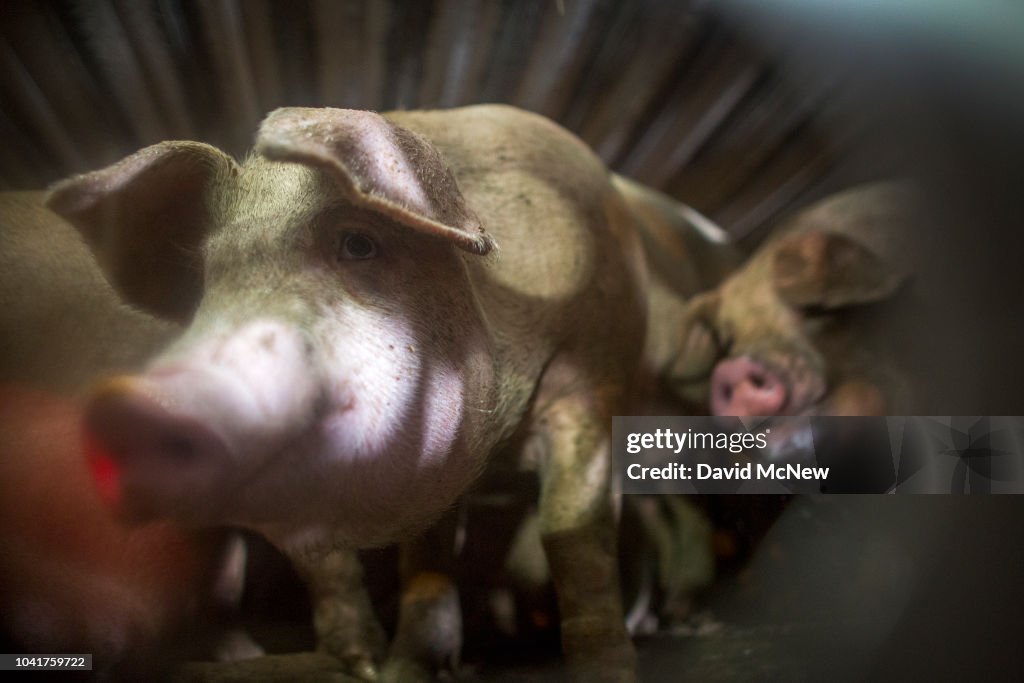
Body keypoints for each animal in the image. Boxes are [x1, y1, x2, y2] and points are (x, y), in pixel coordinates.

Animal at [46, 105, 648, 682]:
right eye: (208, 278)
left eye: (359, 244)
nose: (132, 407)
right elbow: (406, 562)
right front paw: (386, 671)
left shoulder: (589, 382)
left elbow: (572, 530)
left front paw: (608, 673)